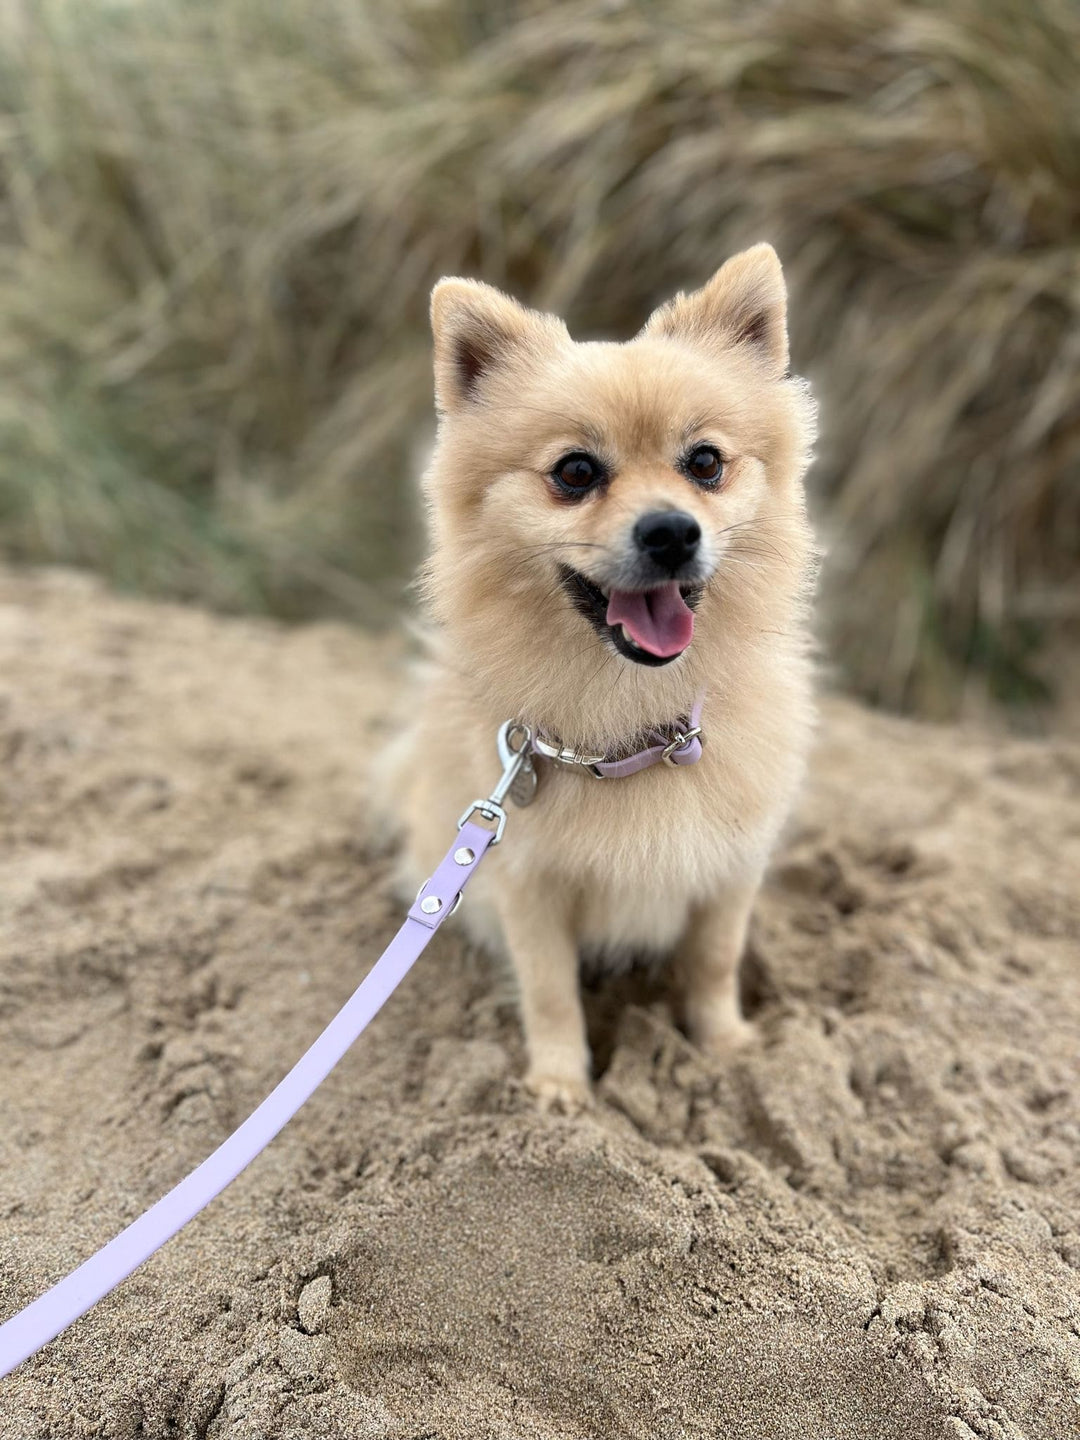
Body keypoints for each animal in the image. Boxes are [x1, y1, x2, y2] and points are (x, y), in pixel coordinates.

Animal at [385, 241, 817, 1105]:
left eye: (706, 462)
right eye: (576, 472)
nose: (672, 532)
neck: (631, 728)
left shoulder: (730, 870)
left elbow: (714, 962)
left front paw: (727, 1049)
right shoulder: (527, 882)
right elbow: (549, 989)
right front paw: (559, 1090)